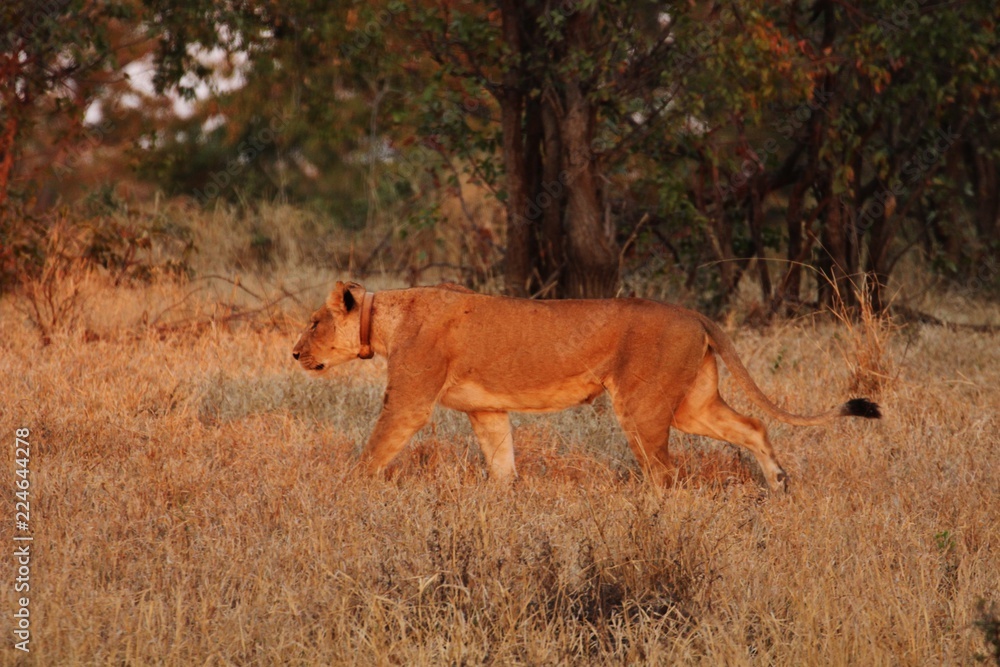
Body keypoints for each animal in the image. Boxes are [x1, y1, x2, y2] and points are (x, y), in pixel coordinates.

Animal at [292, 281, 881, 492]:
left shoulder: (409, 401)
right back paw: (779, 485)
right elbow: (502, 463)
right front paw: (504, 505)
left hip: (642, 405)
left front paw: (343, 495)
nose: (294, 353)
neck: (386, 318)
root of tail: (693, 313)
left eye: (315, 322)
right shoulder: (488, 411)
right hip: (693, 405)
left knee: (666, 471)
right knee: (753, 425)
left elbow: (372, 451)